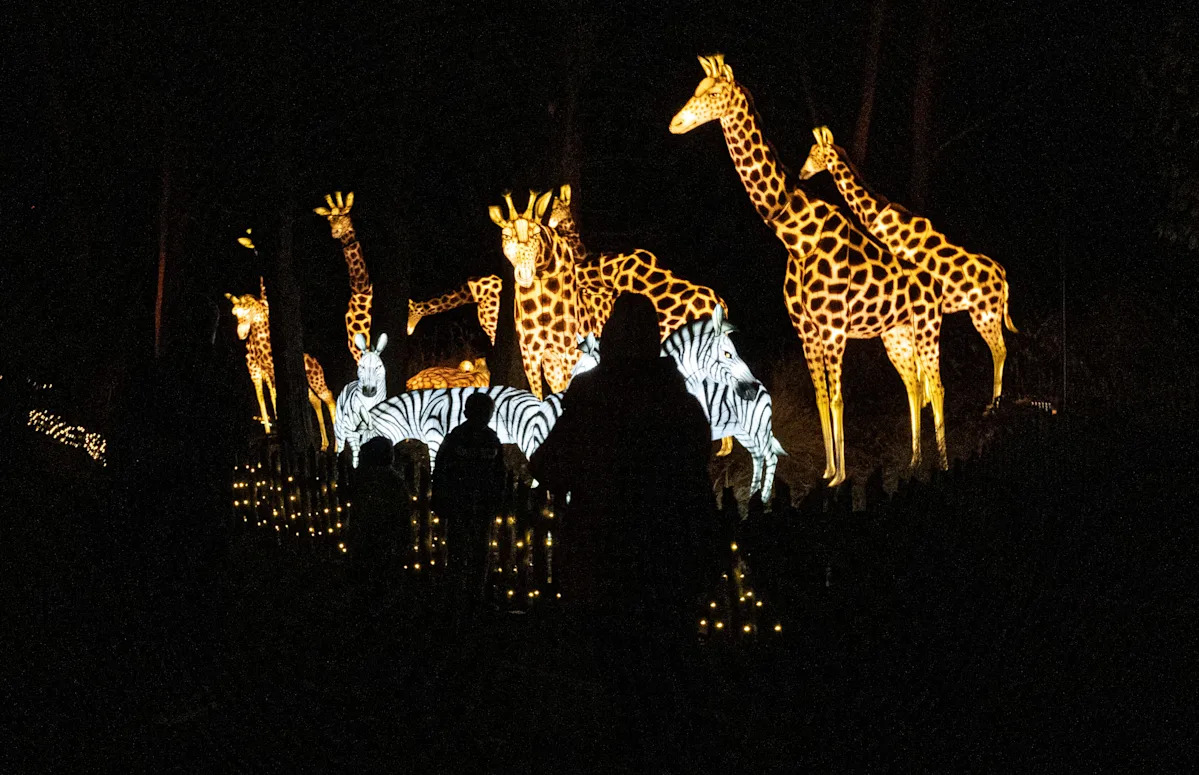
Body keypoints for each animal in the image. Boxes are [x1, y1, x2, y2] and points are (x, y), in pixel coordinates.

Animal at [225, 280, 338, 450]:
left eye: (247, 310)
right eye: (234, 313)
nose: (241, 334)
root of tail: (317, 363)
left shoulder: (269, 376)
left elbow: (273, 400)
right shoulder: (261, 375)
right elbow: (267, 399)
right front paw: (272, 433)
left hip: (317, 382)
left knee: (330, 399)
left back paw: (336, 446)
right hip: (307, 387)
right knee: (316, 402)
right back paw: (323, 444)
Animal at [334, 332, 388, 466]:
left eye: (379, 366)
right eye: (361, 366)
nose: (368, 390)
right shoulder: (349, 428)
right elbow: (356, 450)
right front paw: (356, 466)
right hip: (339, 426)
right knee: (340, 446)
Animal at [671, 54, 948, 485]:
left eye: (713, 93)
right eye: (696, 89)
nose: (676, 123)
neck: (795, 235)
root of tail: (933, 282)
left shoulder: (834, 330)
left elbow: (836, 398)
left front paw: (840, 476)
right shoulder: (807, 331)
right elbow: (820, 396)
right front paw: (828, 469)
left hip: (927, 327)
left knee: (937, 387)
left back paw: (944, 463)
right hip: (897, 336)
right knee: (915, 387)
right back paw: (917, 461)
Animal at [799, 126, 1018, 410]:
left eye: (814, 152)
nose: (802, 173)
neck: (878, 218)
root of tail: (1003, 276)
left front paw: (925, 402)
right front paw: (925, 401)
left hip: (984, 313)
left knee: (999, 349)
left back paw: (993, 405)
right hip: (987, 312)